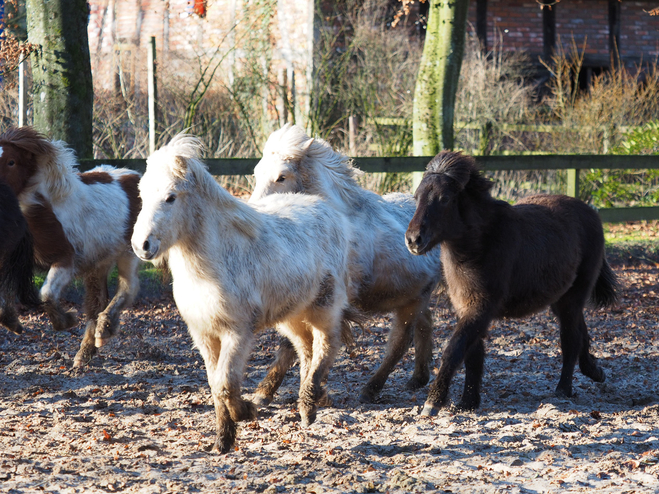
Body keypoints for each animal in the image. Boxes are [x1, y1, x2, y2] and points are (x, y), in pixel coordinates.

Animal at [131, 133, 354, 454]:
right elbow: (215, 386)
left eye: (171, 197)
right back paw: (307, 406)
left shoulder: (237, 333)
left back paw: (310, 400)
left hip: (323, 306)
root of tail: (323, 205)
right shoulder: (204, 335)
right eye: (142, 194)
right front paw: (222, 441)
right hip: (291, 314)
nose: (142, 246)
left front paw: (247, 412)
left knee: (327, 343)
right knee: (305, 348)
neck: (214, 264)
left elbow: (225, 384)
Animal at [251, 122, 444, 402]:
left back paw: (371, 389)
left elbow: (294, 345)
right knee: (425, 324)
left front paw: (306, 391)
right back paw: (418, 378)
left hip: (414, 301)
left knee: (399, 343)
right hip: (411, 297)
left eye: (281, 177)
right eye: (256, 173)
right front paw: (265, 392)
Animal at [408, 152, 620, 414]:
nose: (413, 239)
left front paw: (433, 401)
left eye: (444, 198)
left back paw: (564, 389)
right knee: (581, 331)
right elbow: (472, 356)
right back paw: (595, 371)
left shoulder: (481, 309)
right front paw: (468, 403)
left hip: (573, 296)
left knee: (570, 339)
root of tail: (590, 212)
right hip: (562, 299)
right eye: (416, 197)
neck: (481, 245)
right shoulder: (467, 308)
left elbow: (455, 349)